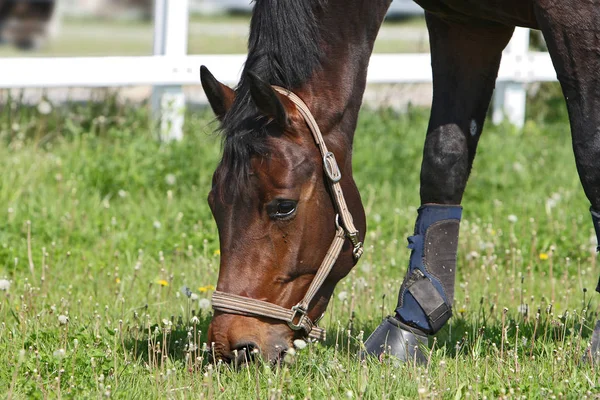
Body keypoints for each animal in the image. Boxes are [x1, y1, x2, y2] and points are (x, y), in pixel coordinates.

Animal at [200, 0, 600, 362]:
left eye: (283, 206)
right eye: (213, 203)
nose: (233, 346)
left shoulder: (575, 19)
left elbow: (590, 155)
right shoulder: (465, 24)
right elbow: (443, 161)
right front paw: (409, 327)